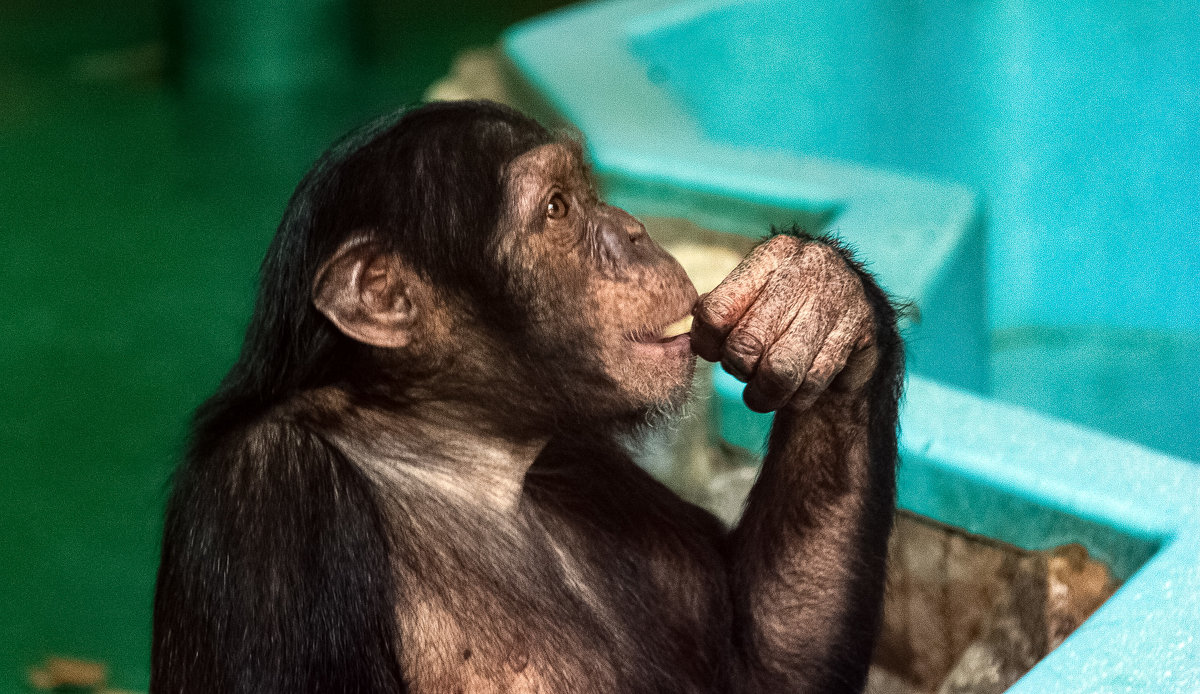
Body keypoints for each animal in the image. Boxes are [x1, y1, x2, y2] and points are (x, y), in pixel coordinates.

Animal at [150, 98, 902, 691]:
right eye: (557, 208)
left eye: (587, 193)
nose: (634, 232)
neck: (455, 444)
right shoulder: (271, 495)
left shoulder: (583, 456)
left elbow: (763, 668)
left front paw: (816, 295)